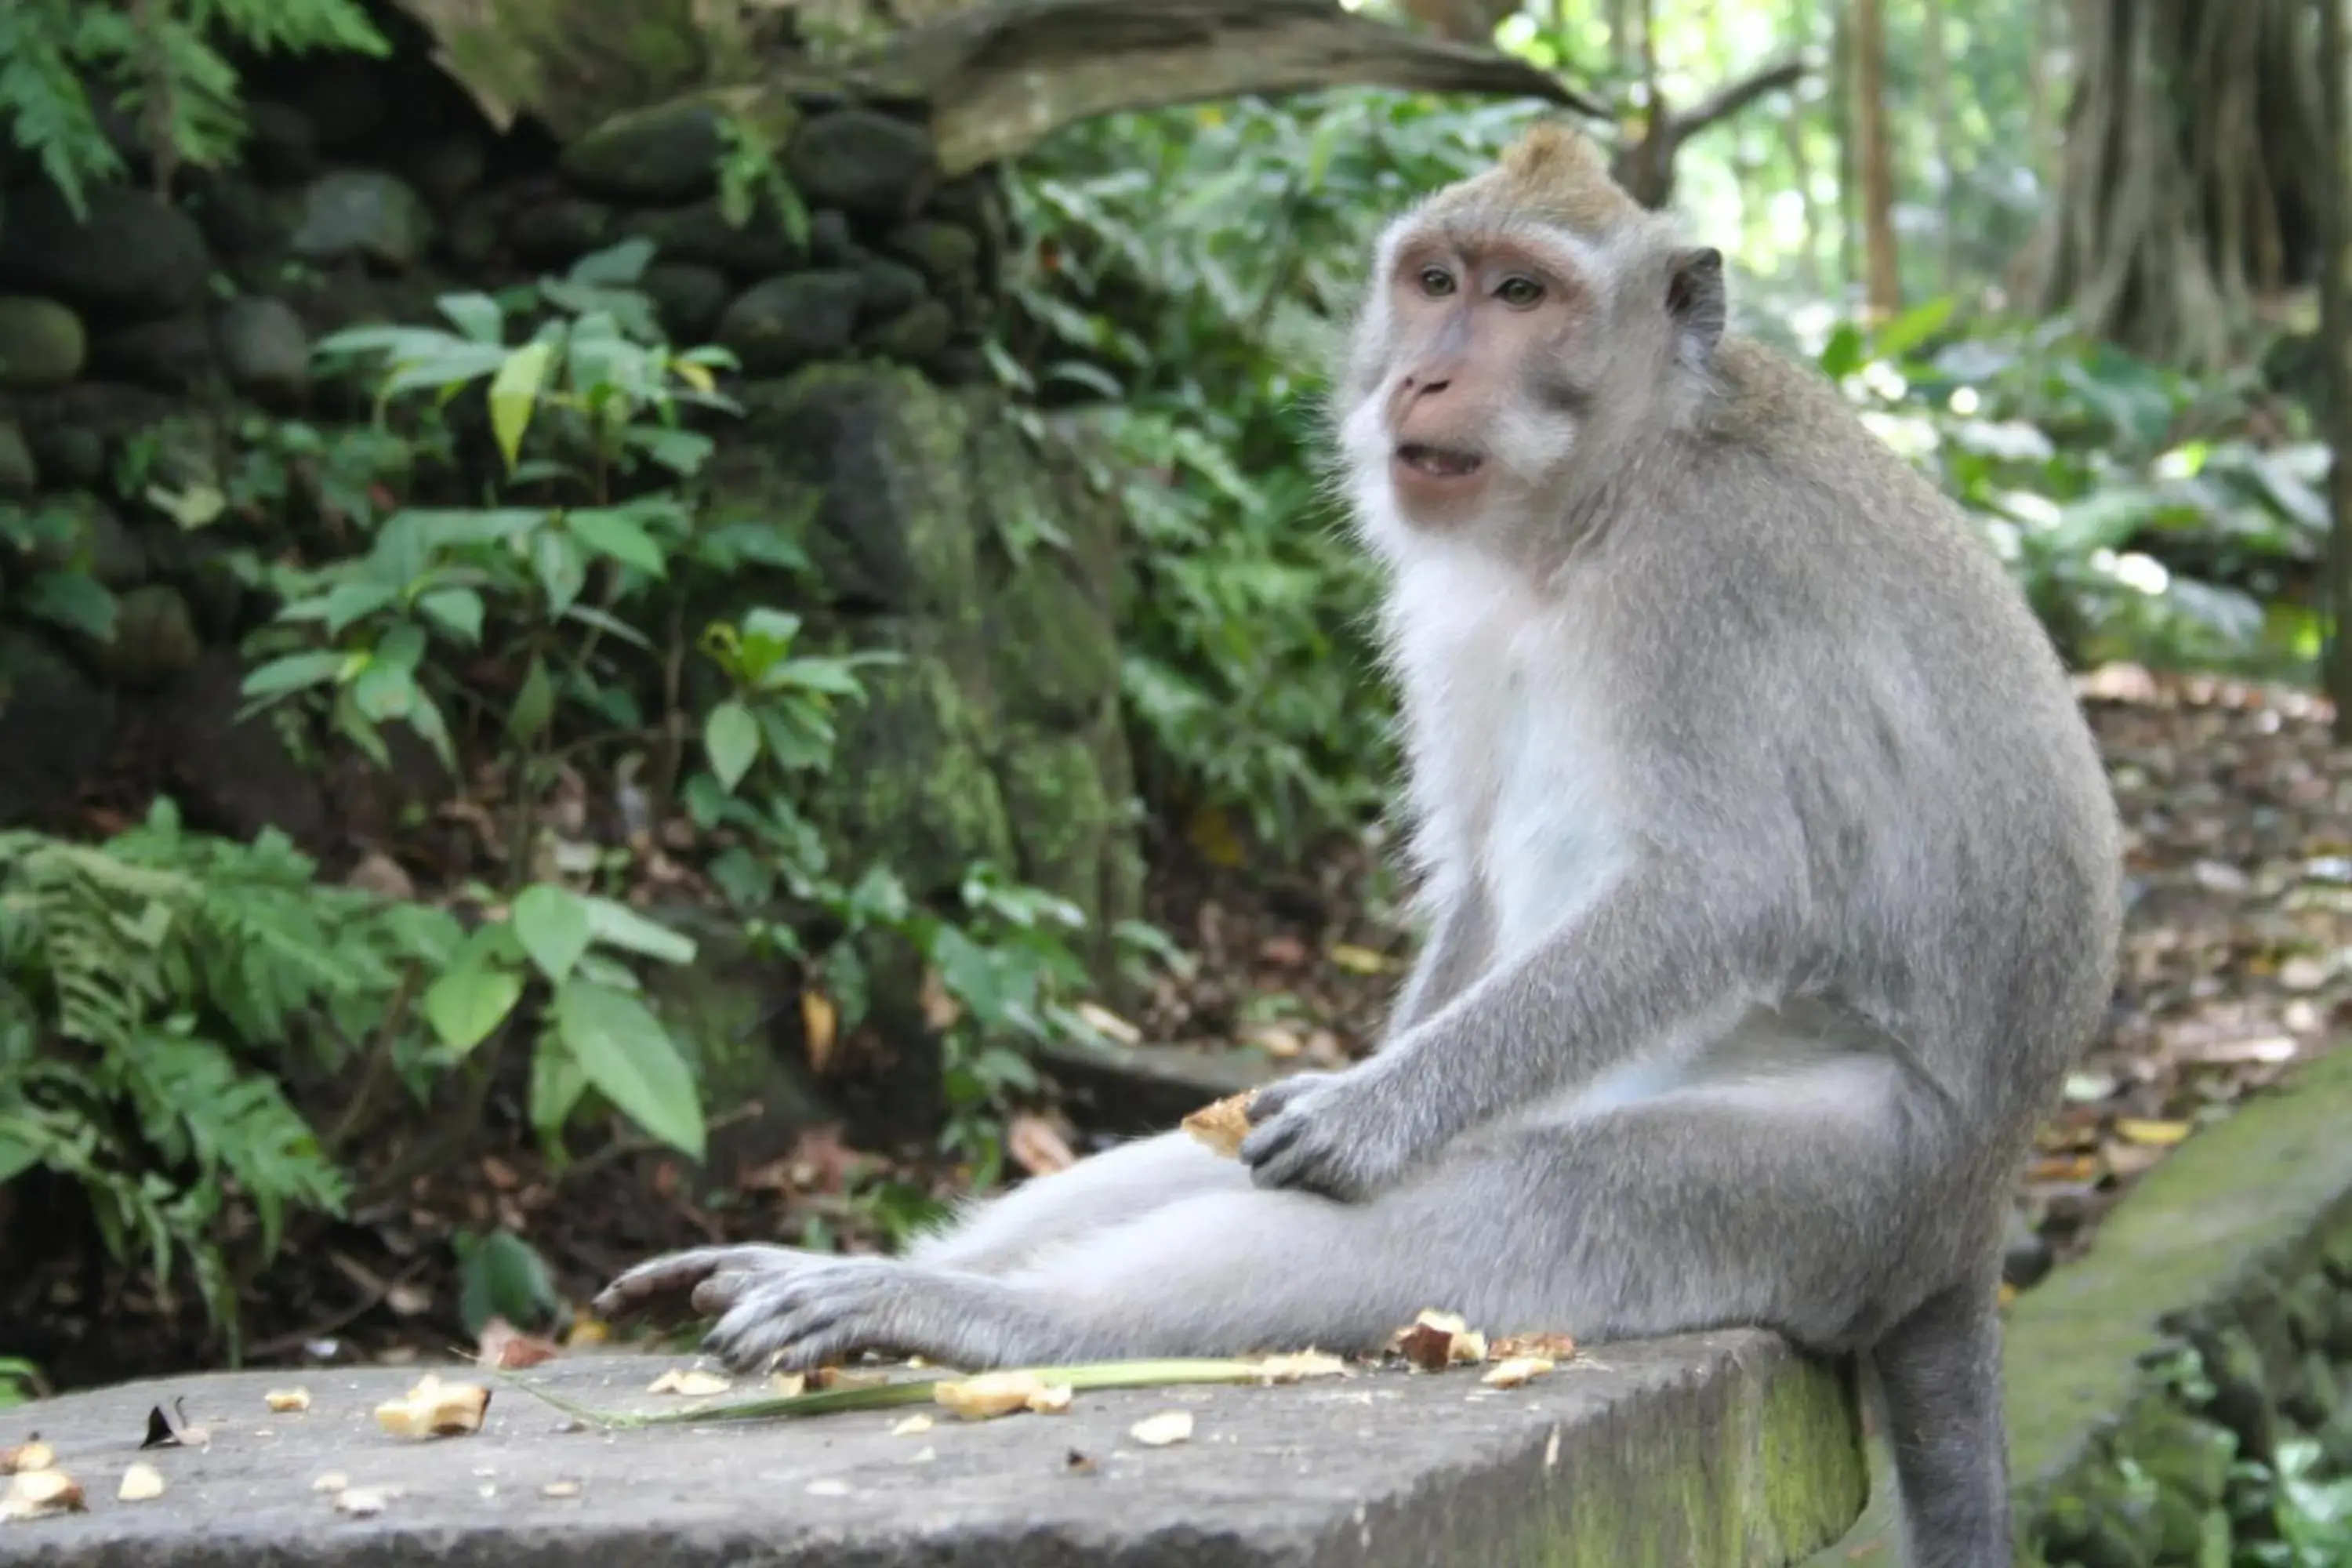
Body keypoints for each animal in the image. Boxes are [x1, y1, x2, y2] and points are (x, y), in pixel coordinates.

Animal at [597, 125, 2126, 1568]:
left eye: (1524, 295)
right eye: (1436, 283)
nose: (1423, 382)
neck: (1603, 496)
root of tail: (1972, 1224)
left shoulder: (1712, 581)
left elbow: (1727, 886)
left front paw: (1375, 1110)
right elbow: (1479, 879)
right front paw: (1364, 1077)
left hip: (1840, 1188)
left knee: (1506, 1209)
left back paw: (965, 1319)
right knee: (1202, 1162)